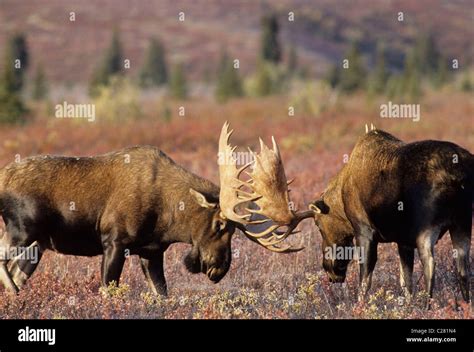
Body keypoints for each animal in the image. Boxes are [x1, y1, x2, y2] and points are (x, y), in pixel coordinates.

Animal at [0, 122, 314, 296]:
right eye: (220, 224)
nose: (219, 268)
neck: (168, 219)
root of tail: (3, 177)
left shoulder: (151, 252)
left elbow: (162, 294)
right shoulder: (114, 241)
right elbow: (108, 291)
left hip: (37, 245)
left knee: (15, 270)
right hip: (22, 230)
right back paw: (14, 293)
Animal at [312, 126, 470, 302]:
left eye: (318, 225)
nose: (330, 271)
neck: (342, 199)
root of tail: (457, 176)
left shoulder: (364, 231)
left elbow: (365, 281)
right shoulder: (403, 241)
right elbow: (406, 282)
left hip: (427, 226)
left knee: (430, 264)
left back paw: (427, 305)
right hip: (462, 222)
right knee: (463, 269)